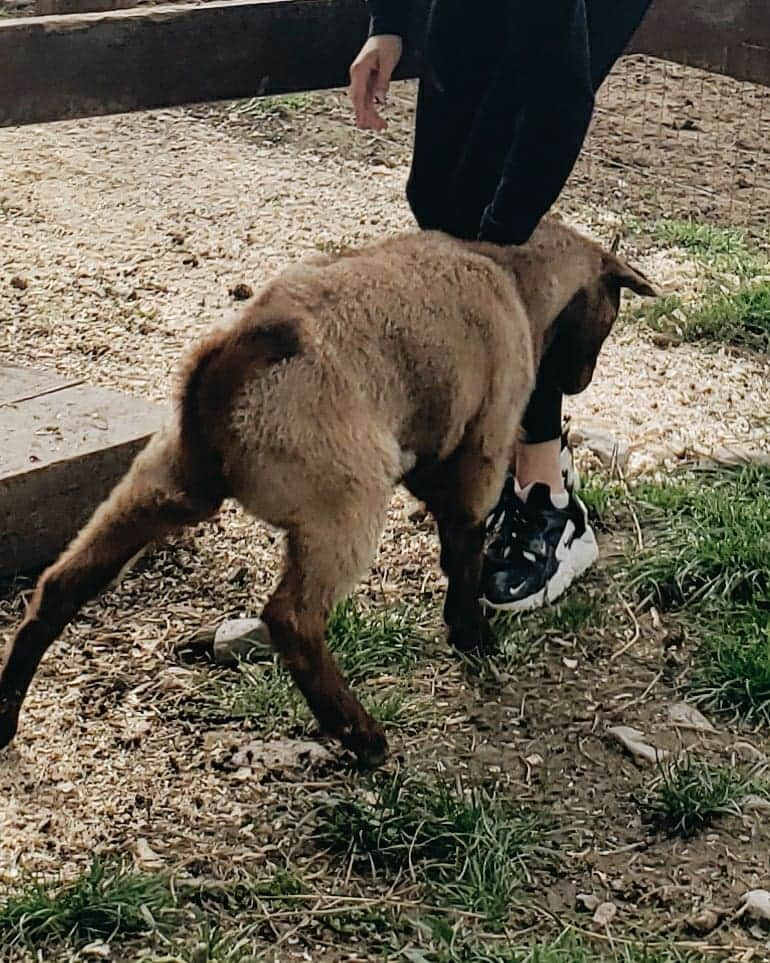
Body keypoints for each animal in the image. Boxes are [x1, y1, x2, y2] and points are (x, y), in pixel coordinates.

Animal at [0, 220, 656, 768]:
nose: (579, 383)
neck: (510, 275)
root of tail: (243, 349)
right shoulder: (485, 447)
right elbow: (465, 553)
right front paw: (472, 637)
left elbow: (453, 540)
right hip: (346, 507)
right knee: (292, 619)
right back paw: (362, 736)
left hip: (161, 486)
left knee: (60, 584)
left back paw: (6, 713)